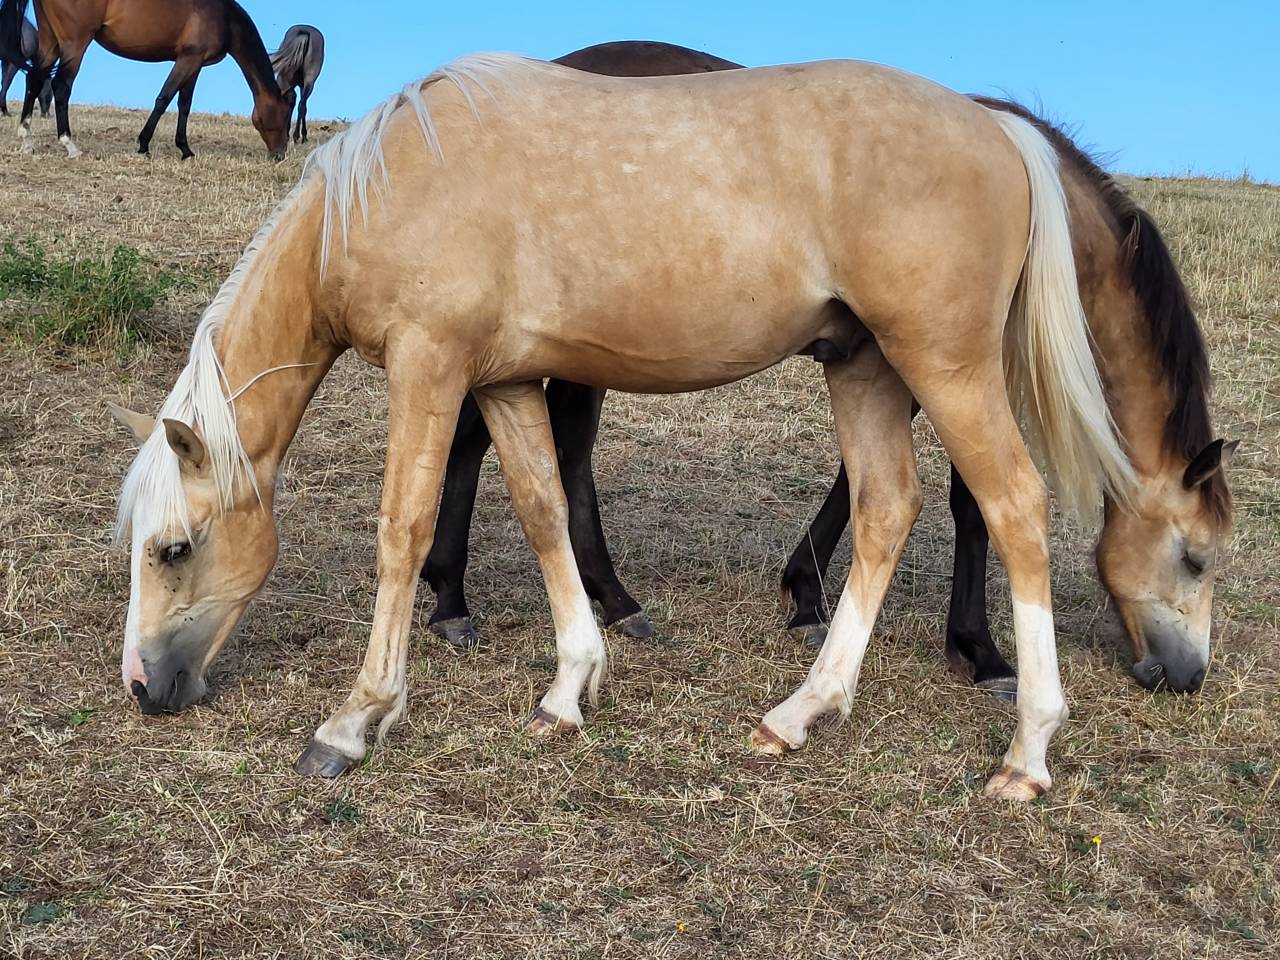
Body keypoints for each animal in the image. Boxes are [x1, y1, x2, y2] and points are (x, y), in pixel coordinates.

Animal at [0, 0, 290, 159]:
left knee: (34, 80)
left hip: (49, 42)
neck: (223, 16)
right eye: (285, 115)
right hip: (75, 44)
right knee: (60, 86)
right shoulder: (187, 60)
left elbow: (184, 105)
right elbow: (164, 98)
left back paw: (26, 139)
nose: (280, 155)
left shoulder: (194, 64)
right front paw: (143, 144)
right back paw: (70, 145)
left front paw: (185, 149)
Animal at [110, 56, 1234, 803]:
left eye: (173, 549)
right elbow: (543, 509)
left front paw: (354, 720)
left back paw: (1026, 752)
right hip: (868, 368)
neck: (388, 186)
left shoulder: (431, 370)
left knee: (1010, 507)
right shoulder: (506, 382)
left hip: (945, 368)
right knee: (885, 508)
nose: (144, 689)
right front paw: (570, 686)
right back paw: (799, 714)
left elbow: (402, 532)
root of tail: (996, 131)